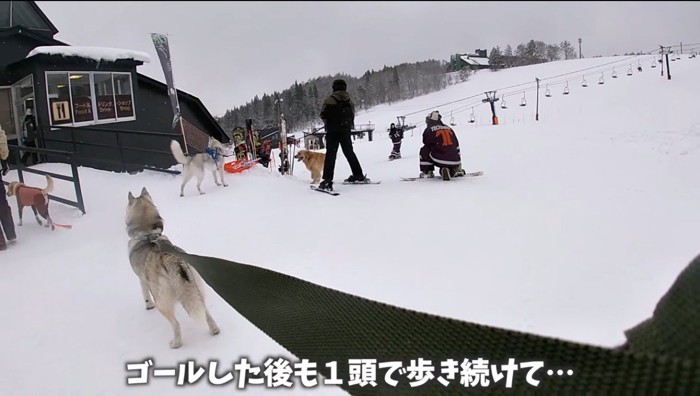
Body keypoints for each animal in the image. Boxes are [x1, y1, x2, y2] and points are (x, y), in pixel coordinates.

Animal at [125, 187, 219, 348]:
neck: (148, 234)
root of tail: (171, 258)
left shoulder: (141, 279)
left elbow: (145, 294)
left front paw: (148, 306)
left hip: (162, 302)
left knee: (175, 324)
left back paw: (176, 343)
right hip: (197, 289)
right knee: (205, 313)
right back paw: (214, 330)